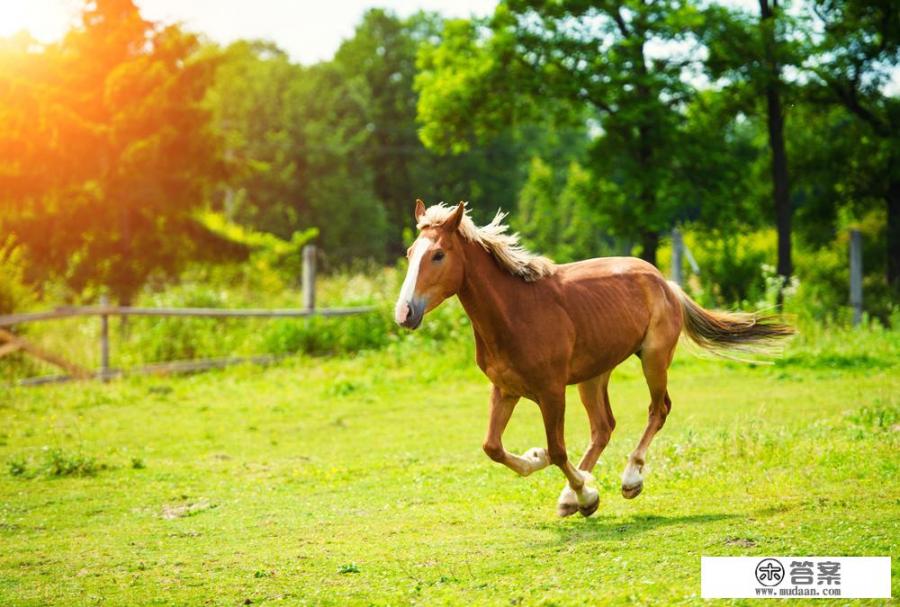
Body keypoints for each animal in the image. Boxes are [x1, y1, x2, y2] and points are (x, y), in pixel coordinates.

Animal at [396, 201, 796, 516]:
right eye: (410, 253)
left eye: (438, 254)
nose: (405, 313)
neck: (515, 311)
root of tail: (665, 282)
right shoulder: (505, 389)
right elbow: (493, 447)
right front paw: (543, 463)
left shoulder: (551, 391)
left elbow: (558, 450)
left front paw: (586, 493)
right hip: (593, 375)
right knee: (603, 427)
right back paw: (570, 497)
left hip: (653, 359)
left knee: (658, 409)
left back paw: (628, 480)